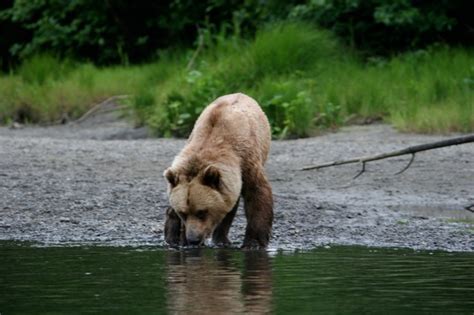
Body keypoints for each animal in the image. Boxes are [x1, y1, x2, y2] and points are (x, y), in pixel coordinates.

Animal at [164, 92, 272, 248]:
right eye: (183, 213)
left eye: (202, 212)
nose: (193, 239)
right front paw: (182, 239)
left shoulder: (246, 161)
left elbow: (257, 194)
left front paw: (253, 242)